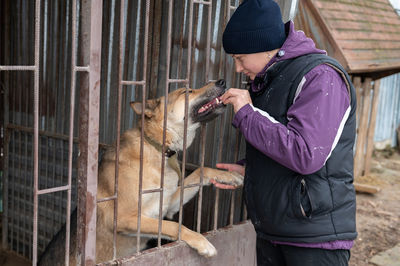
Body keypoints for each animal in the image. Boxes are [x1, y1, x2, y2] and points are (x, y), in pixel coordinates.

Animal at [38, 79, 244, 264]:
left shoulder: (168, 205)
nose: (222, 81)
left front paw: (230, 176)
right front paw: (202, 242)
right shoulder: (124, 218)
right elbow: (172, 225)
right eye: (187, 92)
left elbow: (201, 171)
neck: (157, 149)